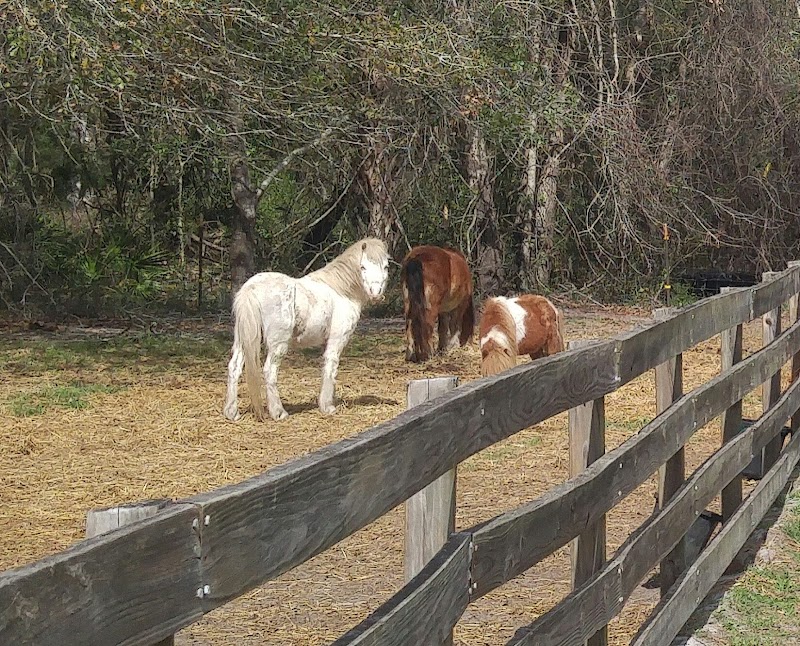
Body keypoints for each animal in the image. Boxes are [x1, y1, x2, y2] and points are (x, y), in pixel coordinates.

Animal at [223, 238, 390, 421]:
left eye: (385, 267)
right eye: (363, 267)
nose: (375, 294)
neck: (341, 291)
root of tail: (251, 288)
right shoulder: (337, 340)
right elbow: (331, 367)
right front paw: (327, 406)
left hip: (244, 341)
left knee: (234, 368)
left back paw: (232, 413)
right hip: (277, 345)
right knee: (269, 371)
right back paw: (278, 412)